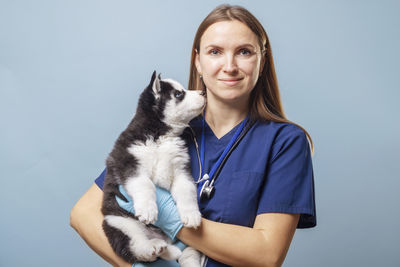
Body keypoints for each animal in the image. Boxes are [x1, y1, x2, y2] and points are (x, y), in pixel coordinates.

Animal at [101, 70, 205, 266]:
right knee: (136, 247)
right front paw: (148, 209)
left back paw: (174, 252)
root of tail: (163, 239)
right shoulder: (129, 163)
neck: (160, 135)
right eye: (178, 94)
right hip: (117, 222)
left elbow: (187, 190)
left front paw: (192, 214)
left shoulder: (181, 169)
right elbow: (145, 184)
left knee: (187, 253)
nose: (203, 92)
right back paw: (153, 247)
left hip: (186, 243)